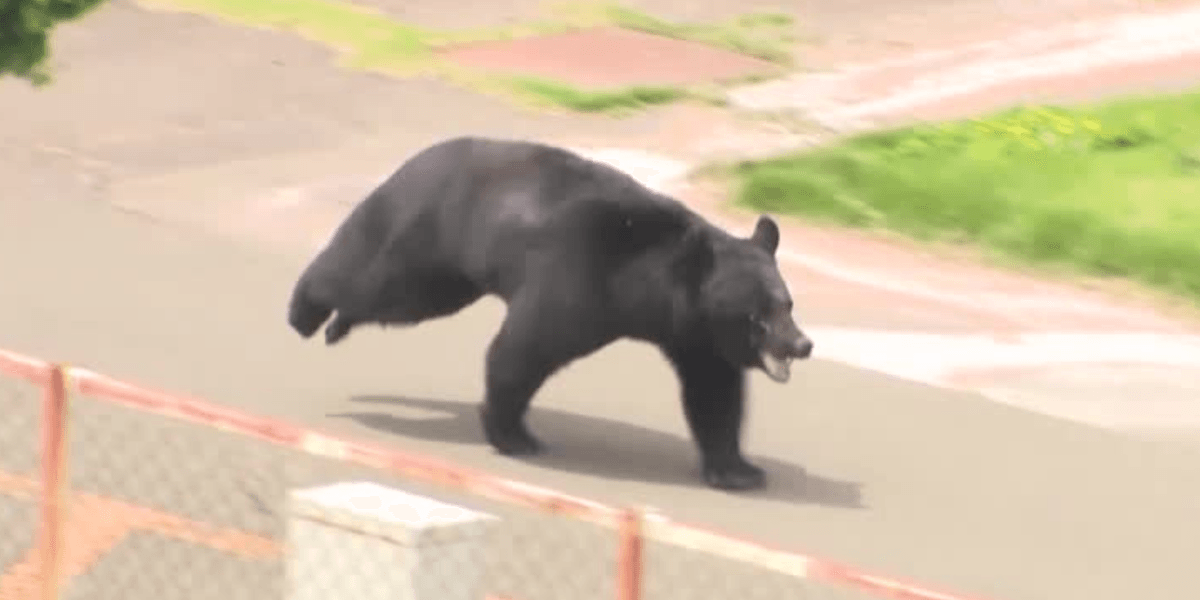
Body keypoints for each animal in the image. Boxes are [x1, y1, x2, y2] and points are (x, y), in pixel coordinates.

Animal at [287, 136, 814, 491]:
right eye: (759, 314)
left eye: (787, 303)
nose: (802, 344)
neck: (653, 283)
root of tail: (416, 158)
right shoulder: (582, 274)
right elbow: (524, 349)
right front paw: (514, 435)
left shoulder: (695, 333)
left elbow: (714, 394)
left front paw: (740, 469)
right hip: (429, 237)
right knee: (376, 282)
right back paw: (305, 311)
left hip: (450, 272)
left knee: (391, 301)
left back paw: (338, 325)